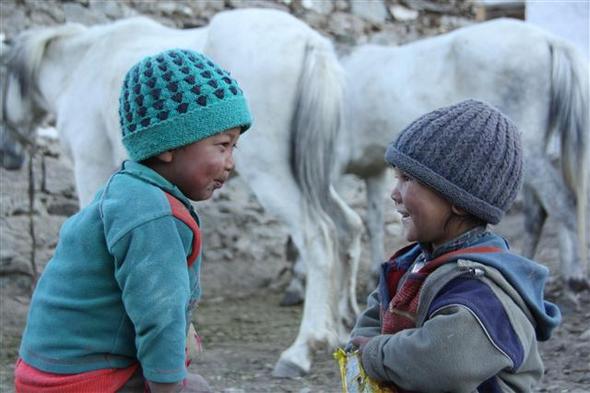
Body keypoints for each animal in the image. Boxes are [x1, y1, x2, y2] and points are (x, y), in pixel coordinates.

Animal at [340, 17, 588, 288]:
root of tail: (548, 39)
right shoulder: (373, 171)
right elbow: (373, 221)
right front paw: (375, 273)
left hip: (531, 153)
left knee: (563, 201)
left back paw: (575, 275)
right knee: (538, 213)